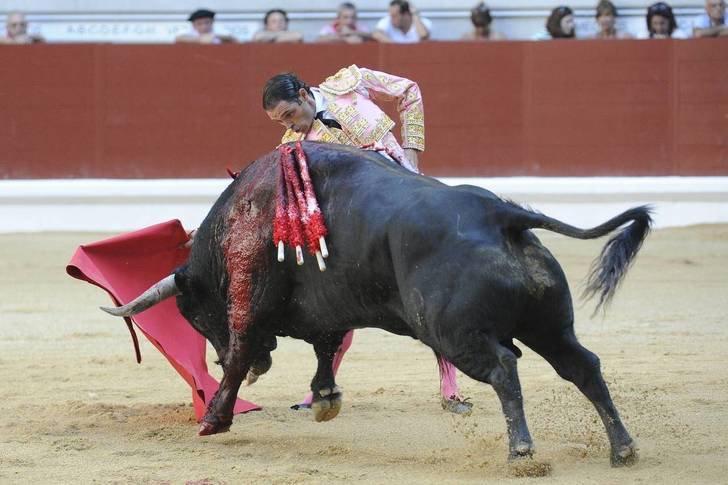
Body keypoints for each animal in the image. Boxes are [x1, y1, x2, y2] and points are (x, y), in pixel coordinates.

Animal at [104, 143, 656, 466]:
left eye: (194, 315)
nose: (264, 364)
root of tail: (501, 214)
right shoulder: (326, 310)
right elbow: (327, 347)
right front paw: (325, 399)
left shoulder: (251, 297)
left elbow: (241, 354)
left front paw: (214, 420)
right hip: (549, 325)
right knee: (582, 366)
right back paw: (622, 448)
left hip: (453, 332)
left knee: (504, 367)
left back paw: (522, 450)